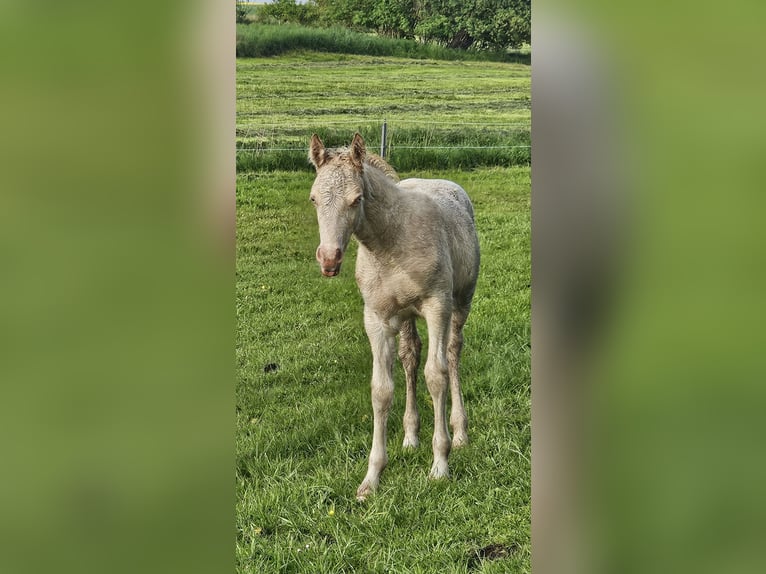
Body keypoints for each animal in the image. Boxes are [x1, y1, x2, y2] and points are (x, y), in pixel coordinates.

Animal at [308, 133, 480, 500]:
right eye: (314, 198)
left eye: (356, 199)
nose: (329, 260)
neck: (390, 242)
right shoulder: (377, 317)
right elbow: (382, 389)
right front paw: (371, 478)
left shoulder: (437, 305)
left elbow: (436, 376)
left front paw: (440, 465)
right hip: (405, 317)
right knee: (410, 356)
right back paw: (411, 437)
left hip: (461, 302)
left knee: (452, 353)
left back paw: (460, 433)